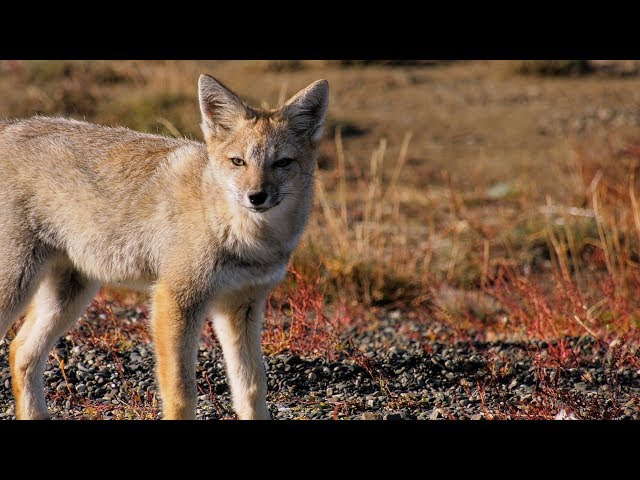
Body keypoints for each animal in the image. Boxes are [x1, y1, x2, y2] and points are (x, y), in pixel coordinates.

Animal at [0, 73, 330, 418]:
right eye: (238, 162)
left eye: (282, 163)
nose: (256, 197)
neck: (249, 240)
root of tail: (9, 126)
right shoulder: (174, 299)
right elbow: (181, 394)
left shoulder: (241, 305)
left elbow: (251, 389)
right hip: (20, 288)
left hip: (70, 296)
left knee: (20, 351)